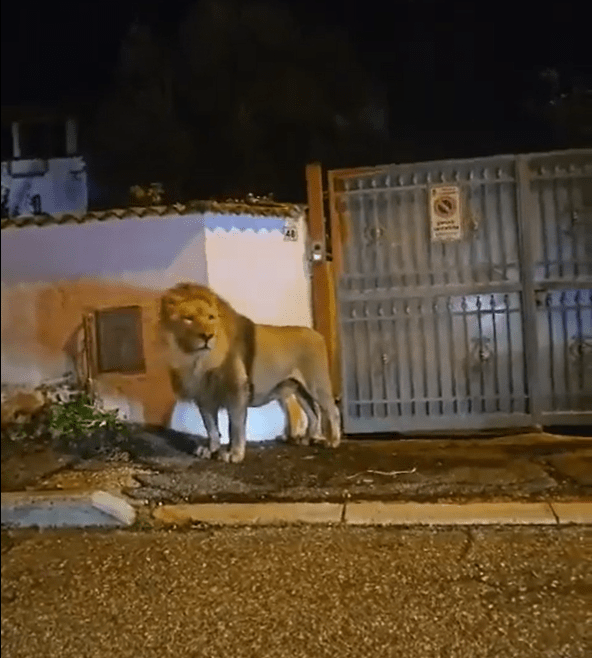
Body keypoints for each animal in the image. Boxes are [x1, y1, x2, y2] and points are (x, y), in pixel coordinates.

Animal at [161, 282, 342, 462]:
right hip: (299, 389)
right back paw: (306, 439)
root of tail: (316, 334)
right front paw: (211, 450)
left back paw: (332, 441)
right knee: (313, 414)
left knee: (332, 410)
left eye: (211, 317)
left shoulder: (236, 392)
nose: (207, 336)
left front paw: (234, 454)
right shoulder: (204, 398)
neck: (197, 359)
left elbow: (235, 427)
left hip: (316, 385)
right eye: (188, 319)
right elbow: (211, 427)